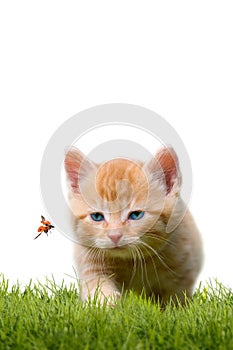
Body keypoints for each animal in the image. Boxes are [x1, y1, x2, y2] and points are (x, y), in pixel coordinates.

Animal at [64, 146, 203, 304]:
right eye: (97, 216)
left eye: (136, 215)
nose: (114, 235)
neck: (131, 262)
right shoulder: (90, 262)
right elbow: (98, 287)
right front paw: (108, 302)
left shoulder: (182, 273)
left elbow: (175, 300)